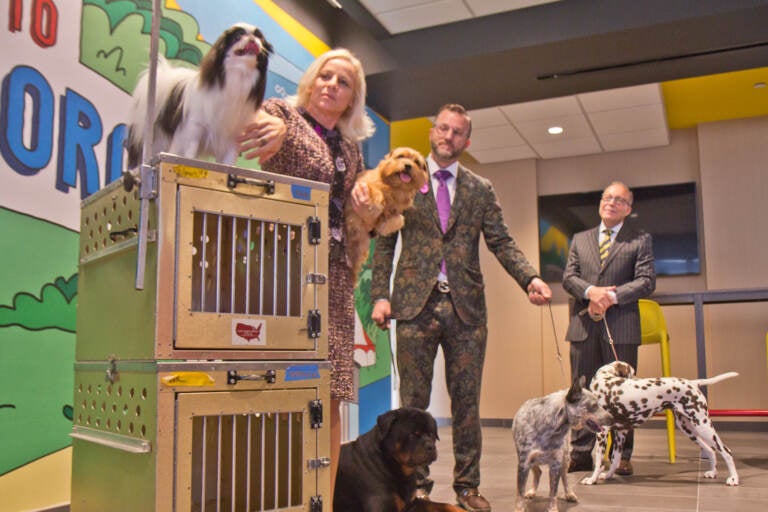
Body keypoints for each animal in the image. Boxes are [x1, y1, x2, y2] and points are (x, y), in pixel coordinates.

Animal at [124, 23, 272, 167]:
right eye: (238, 37)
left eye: (259, 38)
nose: (253, 39)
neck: (238, 76)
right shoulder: (195, 128)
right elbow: (191, 152)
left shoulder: (232, 137)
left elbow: (228, 162)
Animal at [334, 408, 462, 512]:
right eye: (413, 434)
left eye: (431, 434)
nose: (431, 446)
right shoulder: (384, 507)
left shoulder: (412, 503)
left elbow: (443, 505)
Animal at [344, 146, 428, 282]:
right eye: (401, 156)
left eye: (416, 162)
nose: (408, 166)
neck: (395, 187)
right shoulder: (363, 186)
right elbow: (377, 193)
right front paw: (377, 204)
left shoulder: (395, 212)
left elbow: (398, 219)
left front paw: (386, 225)